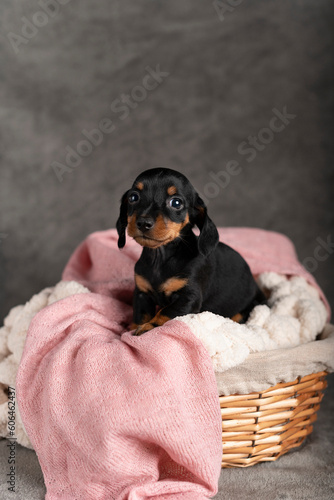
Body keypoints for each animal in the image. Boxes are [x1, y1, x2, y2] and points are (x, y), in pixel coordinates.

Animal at [117, 168, 266, 336]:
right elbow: (140, 314)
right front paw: (132, 329)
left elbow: (164, 313)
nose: (143, 223)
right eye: (133, 197)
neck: (160, 258)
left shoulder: (188, 298)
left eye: (176, 203)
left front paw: (149, 327)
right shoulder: (141, 293)